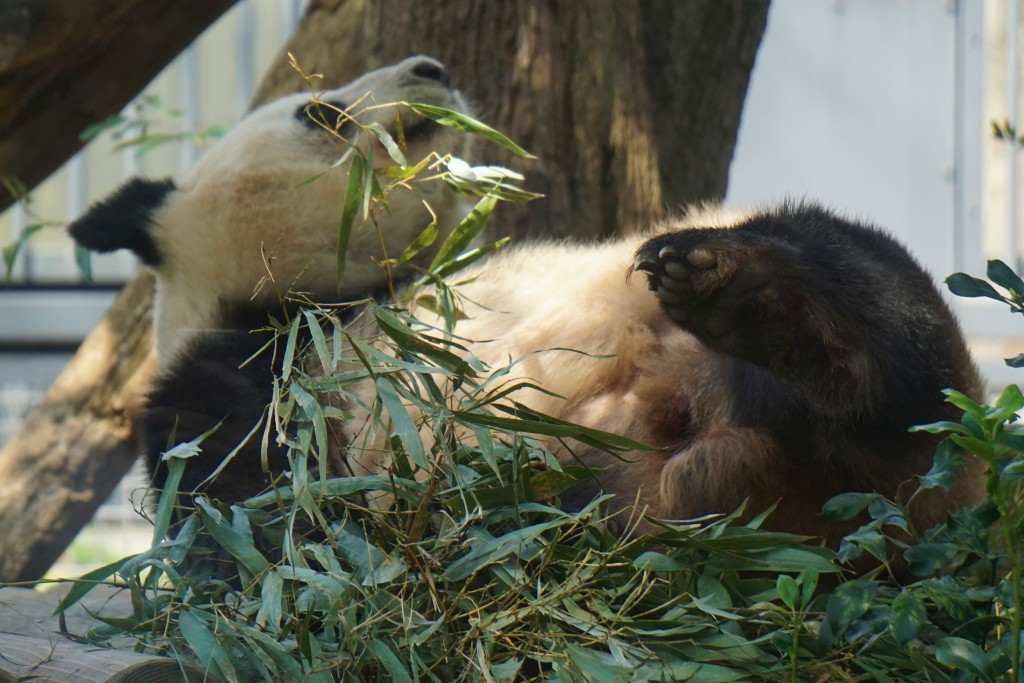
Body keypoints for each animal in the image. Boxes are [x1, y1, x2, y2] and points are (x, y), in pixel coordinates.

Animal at [70, 57, 983, 548]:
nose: (432, 69)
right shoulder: (255, 364)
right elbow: (252, 494)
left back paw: (753, 301)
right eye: (320, 112)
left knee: (866, 287)